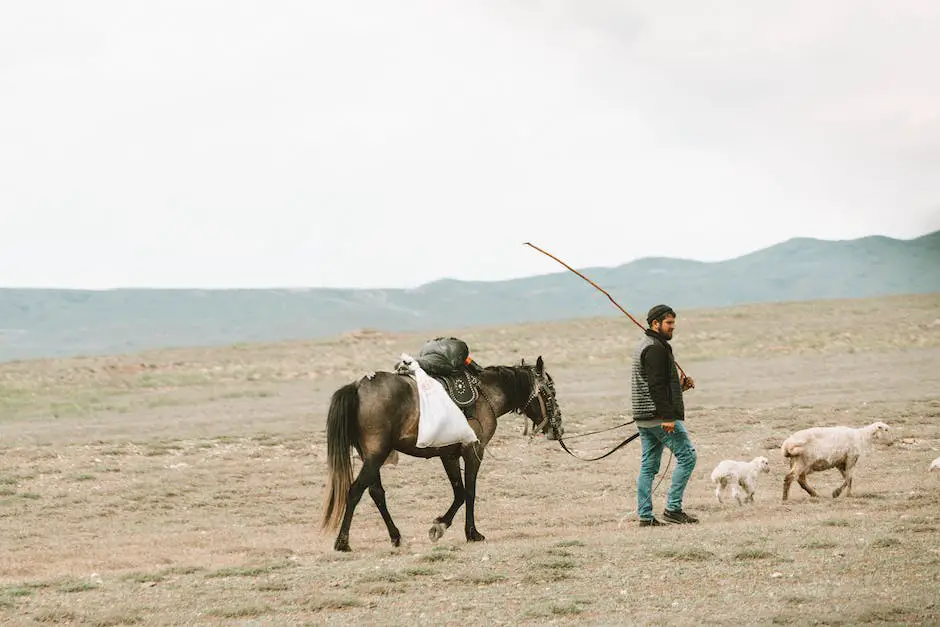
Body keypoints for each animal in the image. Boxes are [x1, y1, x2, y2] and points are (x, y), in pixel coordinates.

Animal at [320, 356, 560, 552]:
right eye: (551, 392)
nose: (558, 426)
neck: (487, 393)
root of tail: (358, 387)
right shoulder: (474, 450)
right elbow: (470, 491)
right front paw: (472, 533)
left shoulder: (449, 454)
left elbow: (459, 493)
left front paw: (439, 527)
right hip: (376, 455)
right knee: (355, 491)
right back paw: (342, 542)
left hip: (370, 456)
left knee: (376, 492)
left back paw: (395, 537)